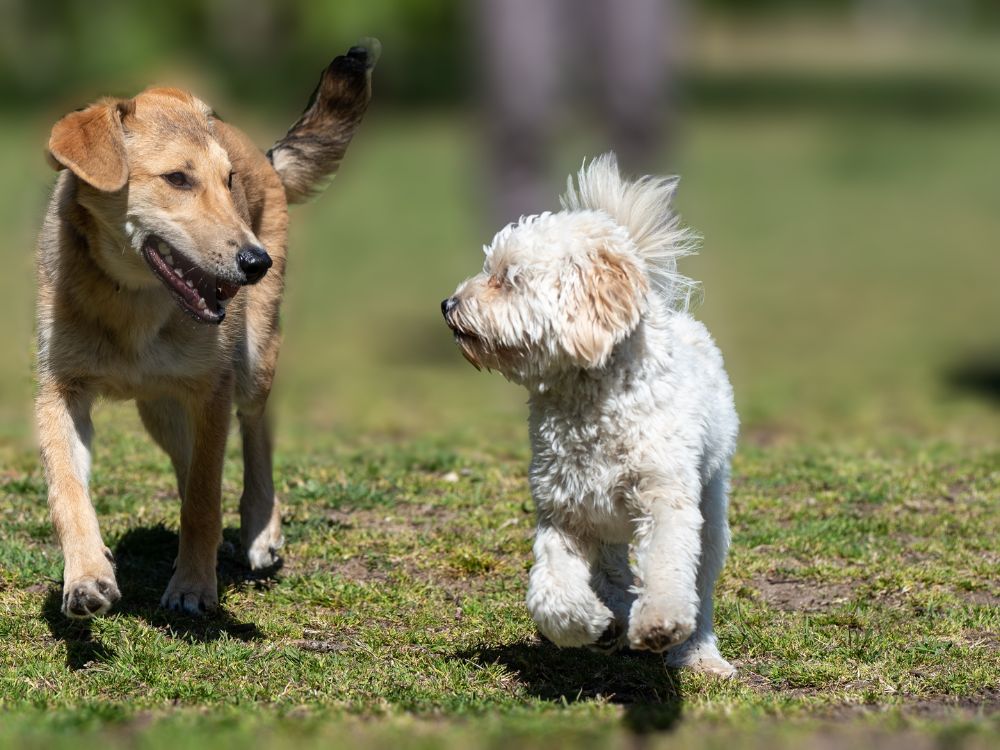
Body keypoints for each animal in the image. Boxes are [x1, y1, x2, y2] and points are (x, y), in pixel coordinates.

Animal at [37, 41, 376, 620]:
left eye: (228, 181)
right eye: (177, 179)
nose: (255, 262)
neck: (131, 302)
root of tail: (264, 155)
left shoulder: (212, 389)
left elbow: (203, 498)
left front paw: (194, 586)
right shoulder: (60, 391)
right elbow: (69, 491)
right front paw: (86, 575)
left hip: (254, 360)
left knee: (255, 432)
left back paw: (260, 529)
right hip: (161, 409)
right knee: (190, 459)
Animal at [442, 156, 740, 680]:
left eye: (508, 277)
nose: (447, 305)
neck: (589, 400)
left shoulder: (665, 499)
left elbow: (668, 567)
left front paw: (659, 623)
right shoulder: (565, 513)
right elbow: (550, 594)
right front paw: (592, 626)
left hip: (710, 505)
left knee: (699, 585)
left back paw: (699, 652)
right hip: (604, 525)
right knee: (614, 571)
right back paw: (616, 616)